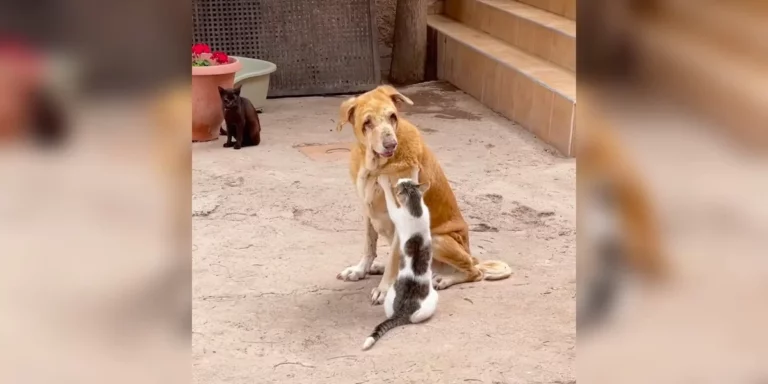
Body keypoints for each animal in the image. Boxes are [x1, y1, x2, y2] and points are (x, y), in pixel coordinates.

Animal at [334, 85, 510, 304]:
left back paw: (444, 279)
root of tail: (472, 255)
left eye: (392, 116)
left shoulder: (401, 218)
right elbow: (369, 246)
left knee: (474, 272)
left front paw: (383, 289)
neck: (375, 168)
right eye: (367, 122)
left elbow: (392, 259)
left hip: (436, 239)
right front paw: (359, 271)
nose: (391, 144)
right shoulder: (367, 210)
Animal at [362, 176, 438, 350]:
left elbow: (390, 200)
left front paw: (384, 181)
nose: (402, 178)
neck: (416, 209)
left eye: (404, 183)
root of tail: (401, 312)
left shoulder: (396, 214)